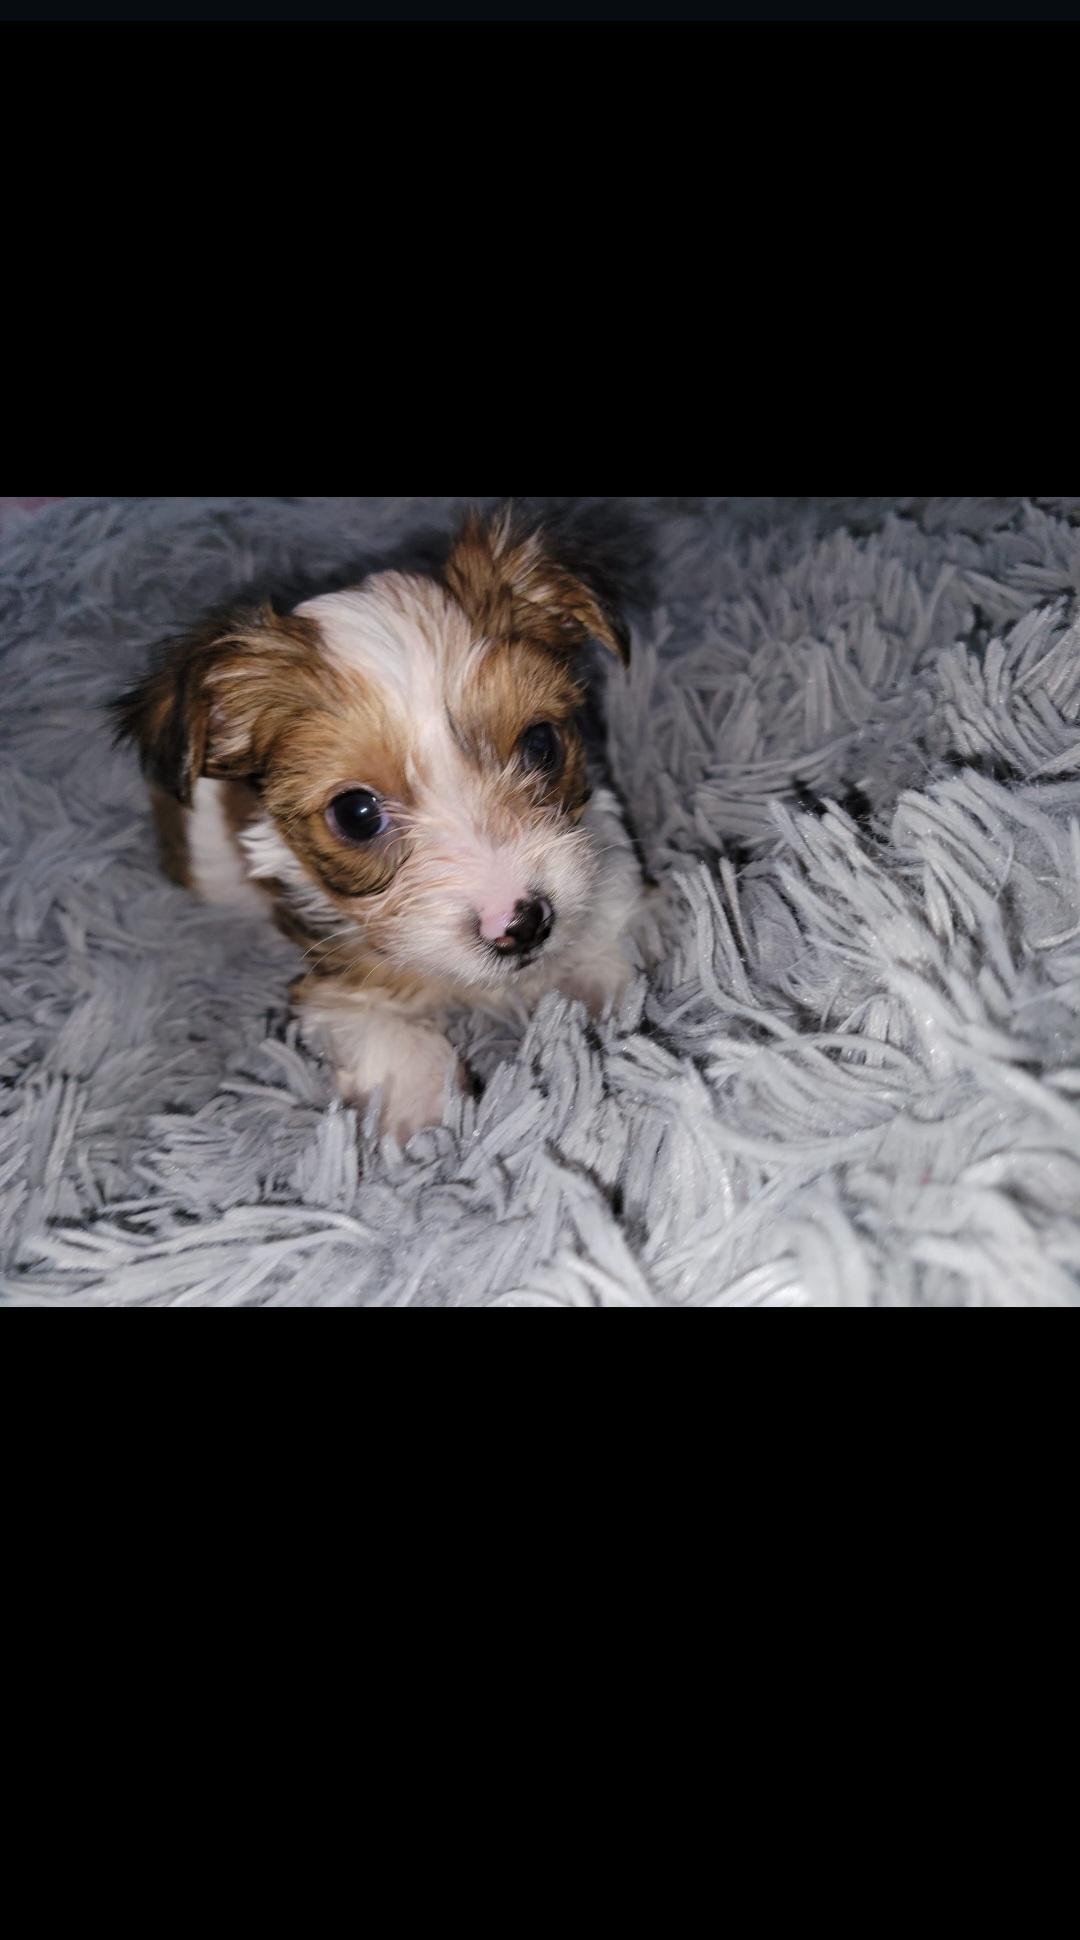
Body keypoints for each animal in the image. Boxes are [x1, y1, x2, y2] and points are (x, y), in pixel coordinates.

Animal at [114, 508, 647, 1142]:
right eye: (356, 813)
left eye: (541, 744)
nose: (521, 924)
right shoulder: (335, 978)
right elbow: (387, 1034)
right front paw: (427, 1124)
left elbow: (607, 932)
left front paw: (605, 1014)